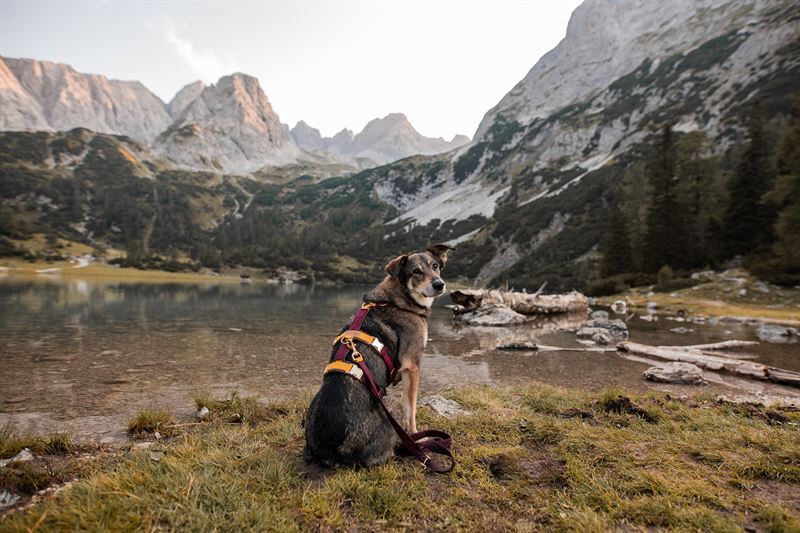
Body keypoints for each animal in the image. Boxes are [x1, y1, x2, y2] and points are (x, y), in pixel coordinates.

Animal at [304, 243, 454, 468]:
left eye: (435, 266)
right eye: (416, 271)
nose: (439, 284)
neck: (398, 300)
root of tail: (332, 449)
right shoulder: (412, 366)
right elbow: (411, 412)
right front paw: (417, 437)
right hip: (390, 403)